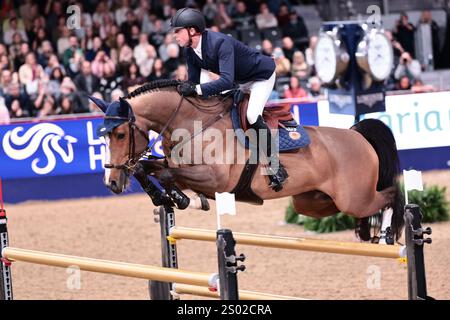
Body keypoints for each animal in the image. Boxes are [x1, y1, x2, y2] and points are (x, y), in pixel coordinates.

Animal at [89, 79, 402, 240]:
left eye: (119, 134)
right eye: (102, 136)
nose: (111, 183)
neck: (192, 124)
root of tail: (357, 135)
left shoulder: (216, 180)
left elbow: (168, 175)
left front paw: (179, 197)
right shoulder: (178, 167)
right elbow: (147, 167)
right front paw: (164, 197)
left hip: (354, 197)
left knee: (389, 195)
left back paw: (387, 233)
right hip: (313, 201)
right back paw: (366, 231)